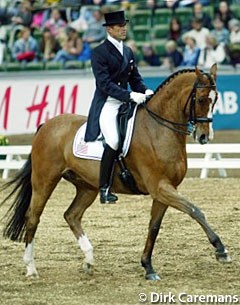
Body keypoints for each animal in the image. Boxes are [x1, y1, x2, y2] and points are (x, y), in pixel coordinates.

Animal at [0, 64, 232, 280]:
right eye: (201, 99)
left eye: (215, 99)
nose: (204, 137)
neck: (158, 129)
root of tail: (46, 125)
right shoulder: (160, 187)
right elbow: (195, 210)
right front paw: (221, 250)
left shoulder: (164, 190)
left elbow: (154, 227)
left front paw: (148, 268)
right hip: (44, 181)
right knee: (33, 217)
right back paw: (31, 269)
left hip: (87, 186)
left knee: (71, 215)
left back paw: (89, 260)